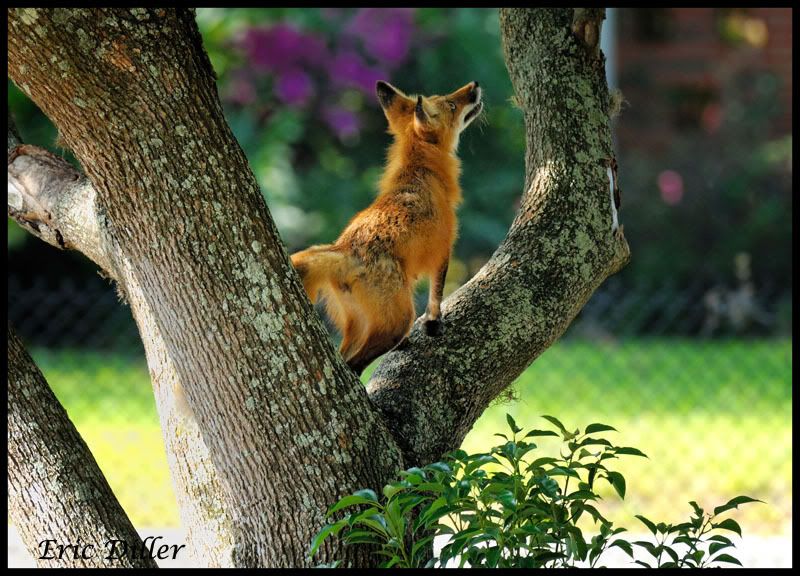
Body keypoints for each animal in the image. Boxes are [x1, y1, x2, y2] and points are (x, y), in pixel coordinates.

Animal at [291, 80, 483, 375]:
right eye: (451, 104)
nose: (474, 85)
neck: (422, 172)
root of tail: (344, 251)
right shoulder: (443, 248)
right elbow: (436, 295)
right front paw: (433, 325)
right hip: (398, 320)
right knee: (353, 365)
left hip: (359, 324)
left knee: (344, 356)